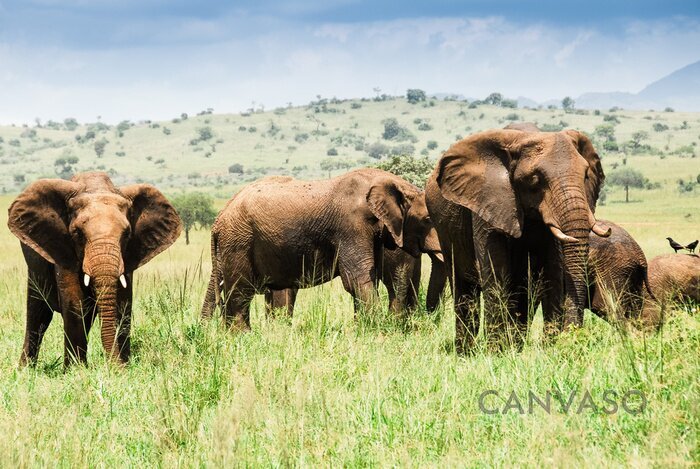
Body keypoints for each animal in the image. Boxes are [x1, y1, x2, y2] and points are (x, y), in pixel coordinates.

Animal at [7, 172, 182, 366]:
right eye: (77, 233)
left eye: (127, 234)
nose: (113, 366)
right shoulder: (64, 249)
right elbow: (76, 305)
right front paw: (76, 370)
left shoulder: (127, 257)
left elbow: (122, 305)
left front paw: (124, 367)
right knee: (38, 315)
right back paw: (25, 369)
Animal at [202, 169, 442, 330]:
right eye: (428, 219)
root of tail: (219, 218)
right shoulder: (350, 225)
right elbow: (356, 277)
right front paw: (375, 331)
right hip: (238, 241)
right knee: (240, 292)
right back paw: (242, 337)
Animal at [424, 126, 608, 350]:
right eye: (535, 179)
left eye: (585, 176)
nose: (571, 337)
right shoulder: (488, 201)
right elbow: (495, 272)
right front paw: (497, 352)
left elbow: (553, 272)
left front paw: (549, 350)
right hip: (444, 230)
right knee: (463, 288)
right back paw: (466, 351)